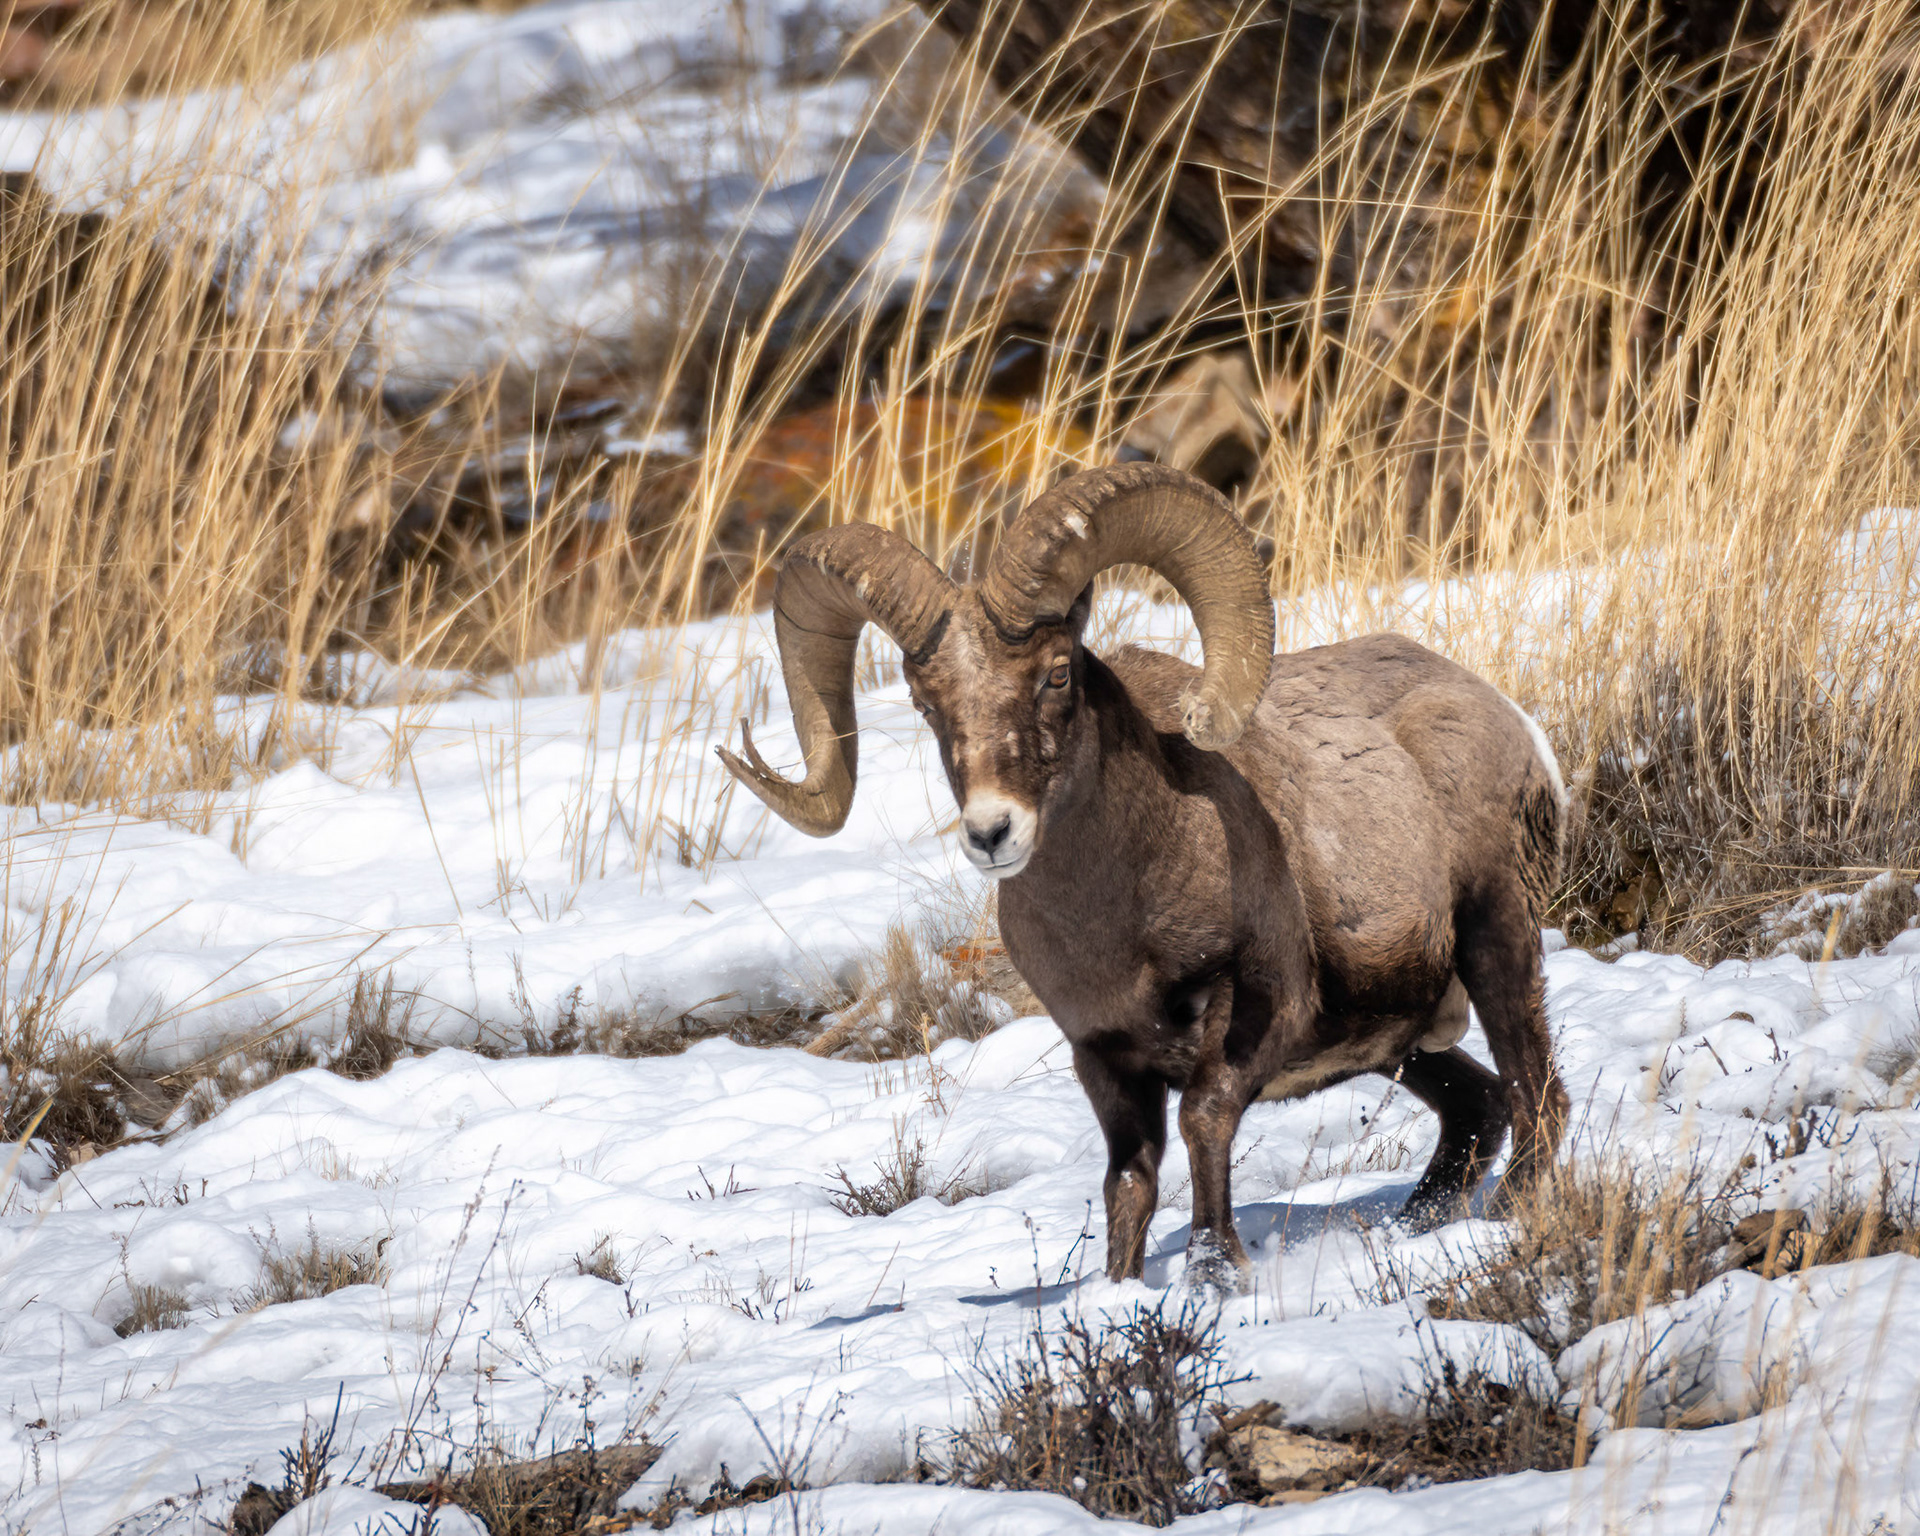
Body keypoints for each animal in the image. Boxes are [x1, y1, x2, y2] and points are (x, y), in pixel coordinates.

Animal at [718, 462, 1569, 1291]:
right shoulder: (1105, 1059)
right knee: (1480, 1108)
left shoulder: (1256, 1012)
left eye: (1057, 675)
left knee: (1536, 1096)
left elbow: (1202, 1122)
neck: (1121, 921)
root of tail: (1497, 712)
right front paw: (1122, 1291)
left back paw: (1510, 1220)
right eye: (927, 702)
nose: (992, 833)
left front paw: (1216, 1273)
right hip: (1404, 1041)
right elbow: (1129, 1182)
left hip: (1497, 942)